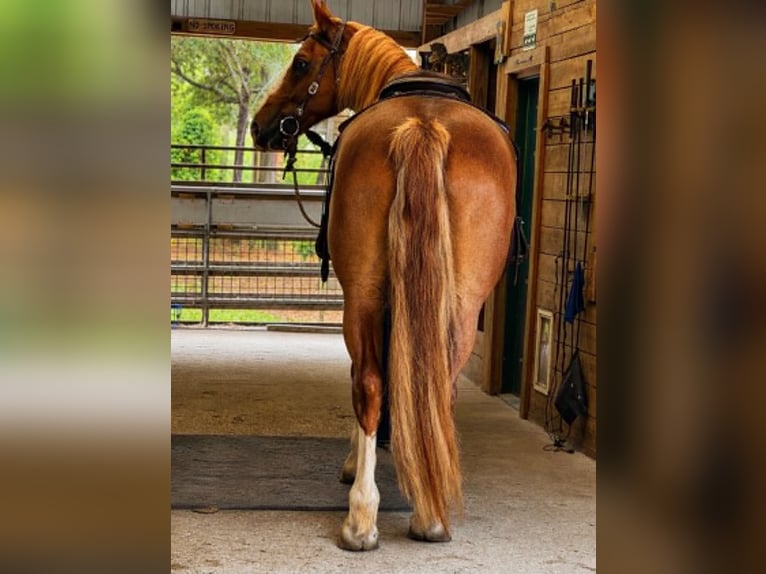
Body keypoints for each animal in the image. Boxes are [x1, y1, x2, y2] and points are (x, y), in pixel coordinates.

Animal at [251, 0, 517, 551]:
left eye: (302, 64)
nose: (260, 126)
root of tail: (423, 126)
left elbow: (364, 377)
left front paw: (356, 465)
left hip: (364, 296)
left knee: (370, 383)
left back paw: (362, 518)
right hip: (461, 303)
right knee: (441, 389)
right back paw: (430, 516)